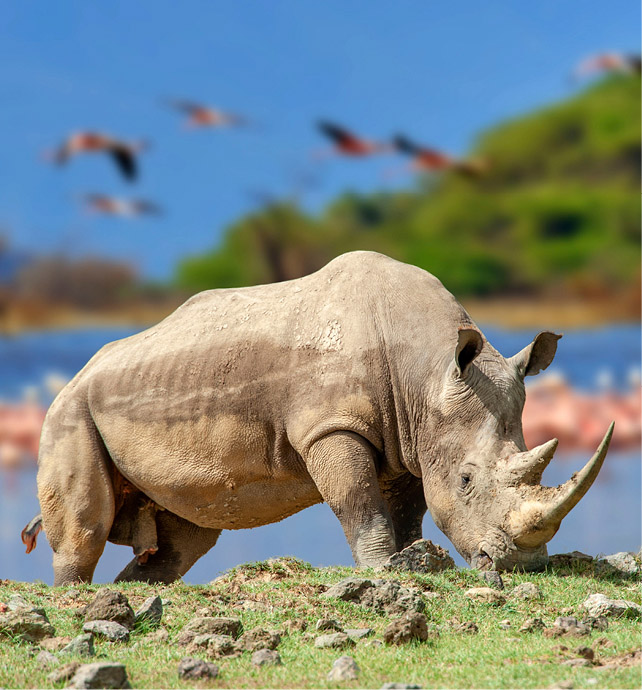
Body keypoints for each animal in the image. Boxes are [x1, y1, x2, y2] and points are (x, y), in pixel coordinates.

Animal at [24, 251, 613, 585]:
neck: (427, 372)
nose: (520, 566)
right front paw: (381, 573)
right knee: (86, 529)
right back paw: (75, 596)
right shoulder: (331, 427)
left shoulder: (411, 442)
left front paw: (412, 560)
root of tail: (78, 373)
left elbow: (407, 511)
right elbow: (360, 505)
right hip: (69, 412)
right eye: (467, 480)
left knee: (183, 540)